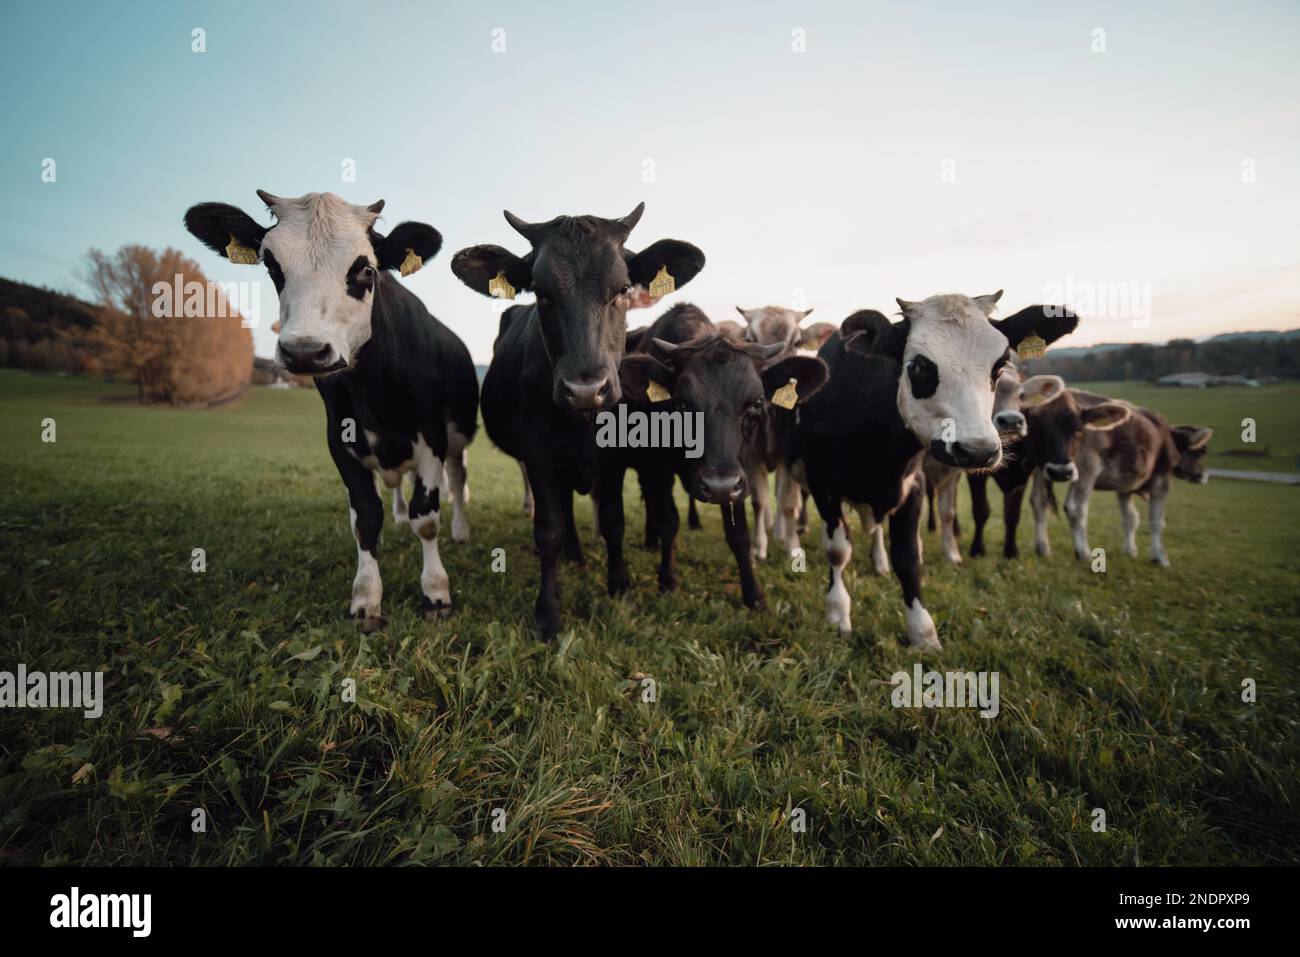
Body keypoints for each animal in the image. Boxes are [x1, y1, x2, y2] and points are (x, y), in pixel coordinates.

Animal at [185, 191, 480, 631]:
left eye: (367, 270)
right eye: (271, 265)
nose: (305, 351)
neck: (374, 392)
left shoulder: (432, 437)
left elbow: (427, 518)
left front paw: (436, 592)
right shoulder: (340, 442)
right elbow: (365, 518)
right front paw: (366, 597)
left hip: (457, 436)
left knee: (457, 482)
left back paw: (461, 530)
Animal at [452, 200, 707, 642]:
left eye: (623, 290)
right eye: (542, 293)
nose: (586, 389)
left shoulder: (615, 459)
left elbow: (613, 521)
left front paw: (619, 587)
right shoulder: (538, 456)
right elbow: (549, 529)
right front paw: (548, 612)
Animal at [790, 295, 1076, 650]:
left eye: (999, 366)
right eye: (918, 366)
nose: (978, 449)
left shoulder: (911, 487)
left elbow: (908, 557)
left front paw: (922, 630)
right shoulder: (822, 483)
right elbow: (838, 550)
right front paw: (838, 612)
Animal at [1029, 390, 1211, 564]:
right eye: (1200, 452)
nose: (1204, 475)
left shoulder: (1124, 487)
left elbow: (1131, 518)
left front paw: (1130, 551)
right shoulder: (1162, 478)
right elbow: (1156, 521)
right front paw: (1160, 557)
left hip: (1044, 469)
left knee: (1039, 502)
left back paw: (1043, 549)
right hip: (1086, 468)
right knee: (1075, 507)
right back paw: (1084, 553)